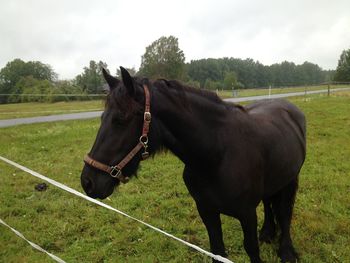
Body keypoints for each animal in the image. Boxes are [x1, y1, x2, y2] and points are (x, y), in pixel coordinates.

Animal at [80, 68, 304, 263]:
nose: (87, 182)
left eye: (120, 120)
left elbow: (252, 250)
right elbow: (218, 251)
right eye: (102, 118)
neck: (217, 156)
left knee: (285, 213)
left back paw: (287, 251)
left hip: (291, 179)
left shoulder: (247, 214)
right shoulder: (207, 211)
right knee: (269, 202)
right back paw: (267, 233)